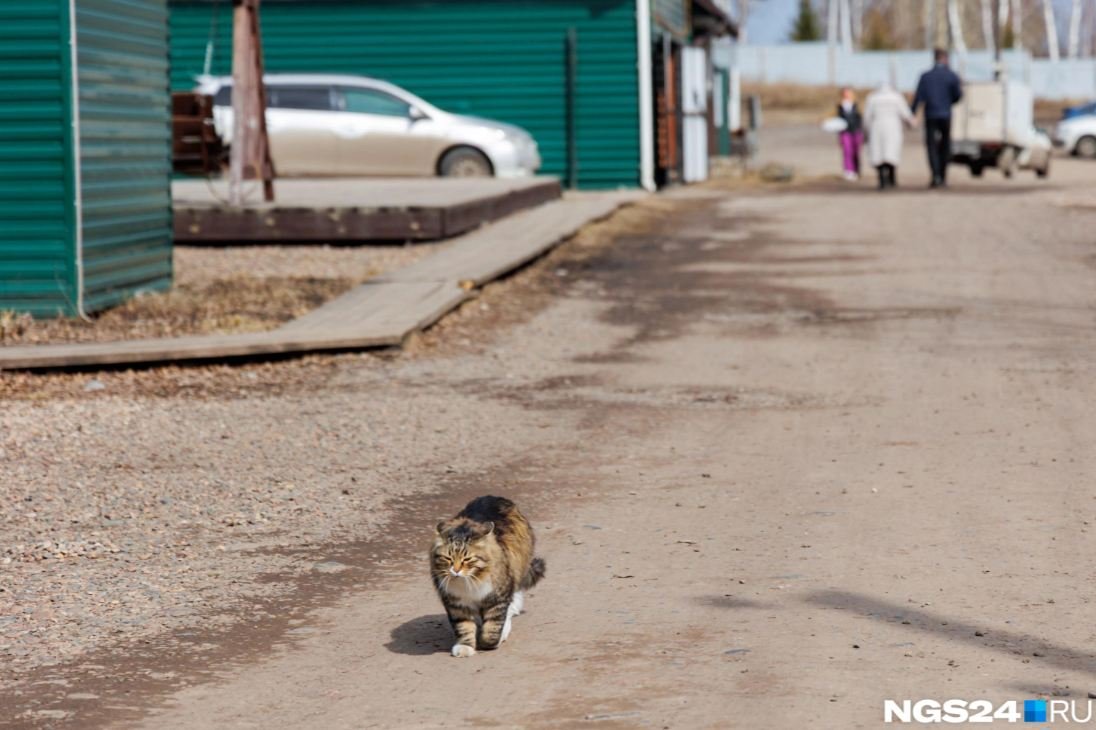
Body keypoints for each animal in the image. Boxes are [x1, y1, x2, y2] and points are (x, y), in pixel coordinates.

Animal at [429, 495, 545, 653]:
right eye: (448, 558)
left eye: (467, 559)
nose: (456, 571)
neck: (469, 581)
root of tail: (494, 497)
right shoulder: (456, 604)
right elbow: (463, 627)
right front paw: (465, 647)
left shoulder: (497, 598)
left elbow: (493, 627)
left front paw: (488, 642)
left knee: (512, 604)